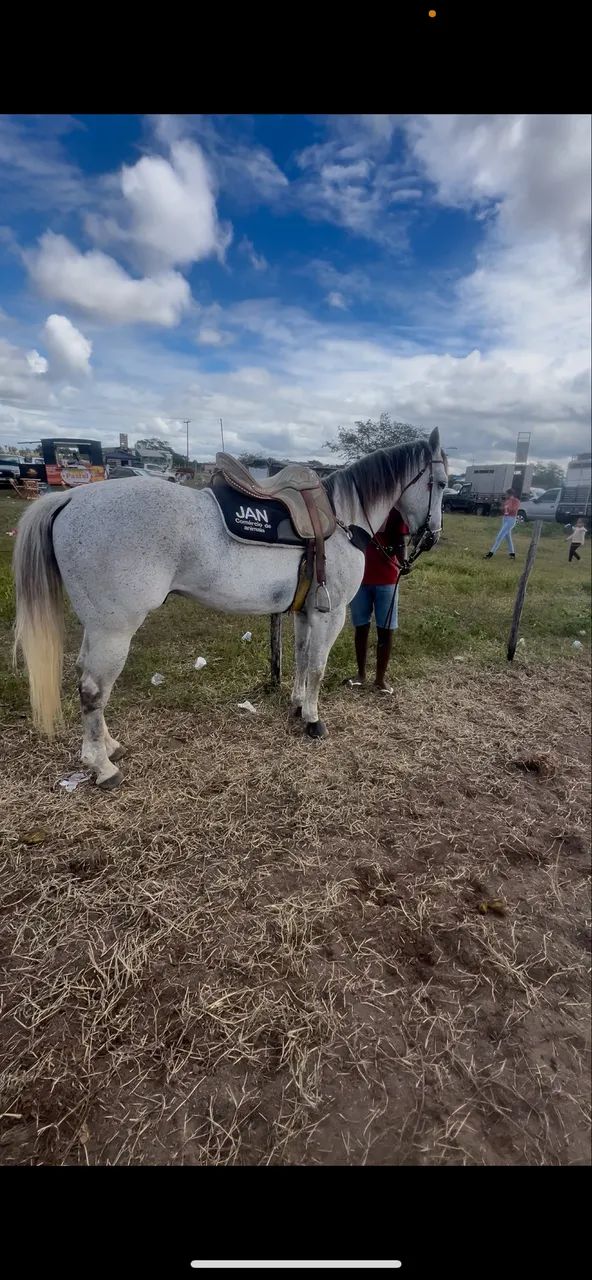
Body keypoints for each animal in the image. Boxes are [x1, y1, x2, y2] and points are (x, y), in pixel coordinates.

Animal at [13, 428, 447, 789]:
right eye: (441, 483)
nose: (431, 537)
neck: (341, 519)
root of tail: (71, 496)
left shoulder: (305, 611)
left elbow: (302, 659)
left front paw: (296, 706)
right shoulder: (331, 613)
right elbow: (318, 667)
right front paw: (313, 720)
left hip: (99, 627)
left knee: (85, 680)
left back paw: (108, 747)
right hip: (114, 630)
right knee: (92, 689)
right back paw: (102, 767)